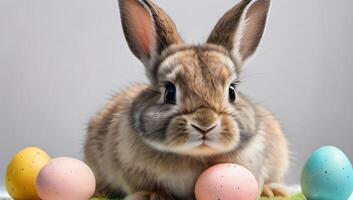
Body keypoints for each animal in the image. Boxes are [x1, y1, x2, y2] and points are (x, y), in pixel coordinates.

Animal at [84, 0, 288, 199]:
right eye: (169, 92)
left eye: (232, 92)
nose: (205, 125)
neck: (196, 156)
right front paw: (151, 195)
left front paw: (269, 190)